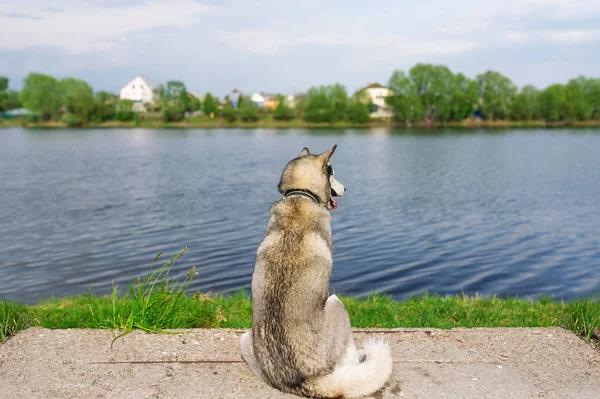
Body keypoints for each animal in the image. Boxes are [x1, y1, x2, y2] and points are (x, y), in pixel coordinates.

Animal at [240, 147, 394, 399]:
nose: (346, 188)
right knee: (348, 357)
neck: (301, 196)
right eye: (333, 174)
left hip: (245, 338)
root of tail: (306, 380)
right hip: (336, 303)